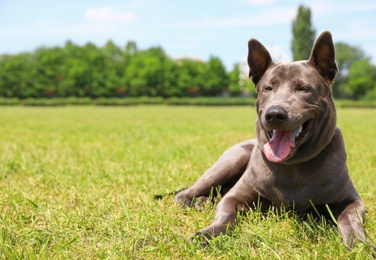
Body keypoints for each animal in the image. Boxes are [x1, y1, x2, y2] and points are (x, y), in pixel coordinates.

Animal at [173, 31, 374, 254]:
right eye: (267, 88)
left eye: (304, 88)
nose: (275, 114)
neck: (293, 164)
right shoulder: (235, 197)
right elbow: (226, 214)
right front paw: (208, 234)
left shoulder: (350, 200)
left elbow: (351, 219)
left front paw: (360, 245)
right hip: (232, 159)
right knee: (183, 194)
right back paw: (196, 202)